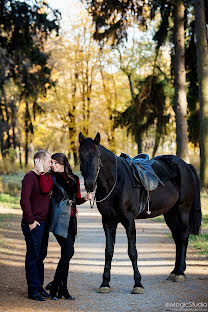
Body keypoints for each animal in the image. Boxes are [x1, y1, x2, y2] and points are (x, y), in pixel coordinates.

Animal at [78, 133, 202, 294]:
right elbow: (108, 251)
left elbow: (132, 251)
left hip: (182, 210)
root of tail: (186, 166)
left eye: (98, 155)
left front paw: (138, 284)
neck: (116, 182)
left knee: (183, 237)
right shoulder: (108, 221)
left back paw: (180, 273)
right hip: (170, 214)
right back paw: (175, 271)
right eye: (81, 155)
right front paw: (105, 283)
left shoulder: (129, 221)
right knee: (177, 238)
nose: (90, 184)